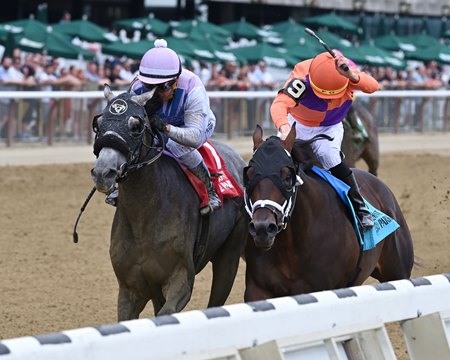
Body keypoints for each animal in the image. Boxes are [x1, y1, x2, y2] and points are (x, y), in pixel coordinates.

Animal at [89, 85, 248, 320]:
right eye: (98, 124)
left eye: (136, 126)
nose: (103, 172)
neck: (144, 218)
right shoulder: (130, 289)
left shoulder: (180, 280)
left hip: (229, 255)